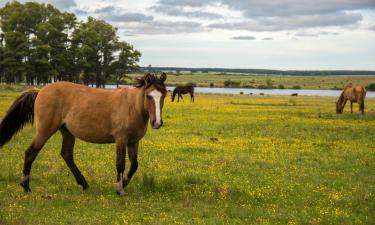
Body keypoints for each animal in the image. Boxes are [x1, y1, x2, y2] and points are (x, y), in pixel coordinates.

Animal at [0, 72, 167, 195]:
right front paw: (119, 189)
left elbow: (134, 165)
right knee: (30, 153)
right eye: (149, 96)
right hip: (45, 131)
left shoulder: (133, 142)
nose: (157, 122)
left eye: (164, 95)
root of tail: (40, 91)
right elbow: (121, 163)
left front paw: (124, 183)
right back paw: (26, 186)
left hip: (67, 132)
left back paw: (84, 184)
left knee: (66, 155)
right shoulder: (121, 139)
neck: (131, 106)